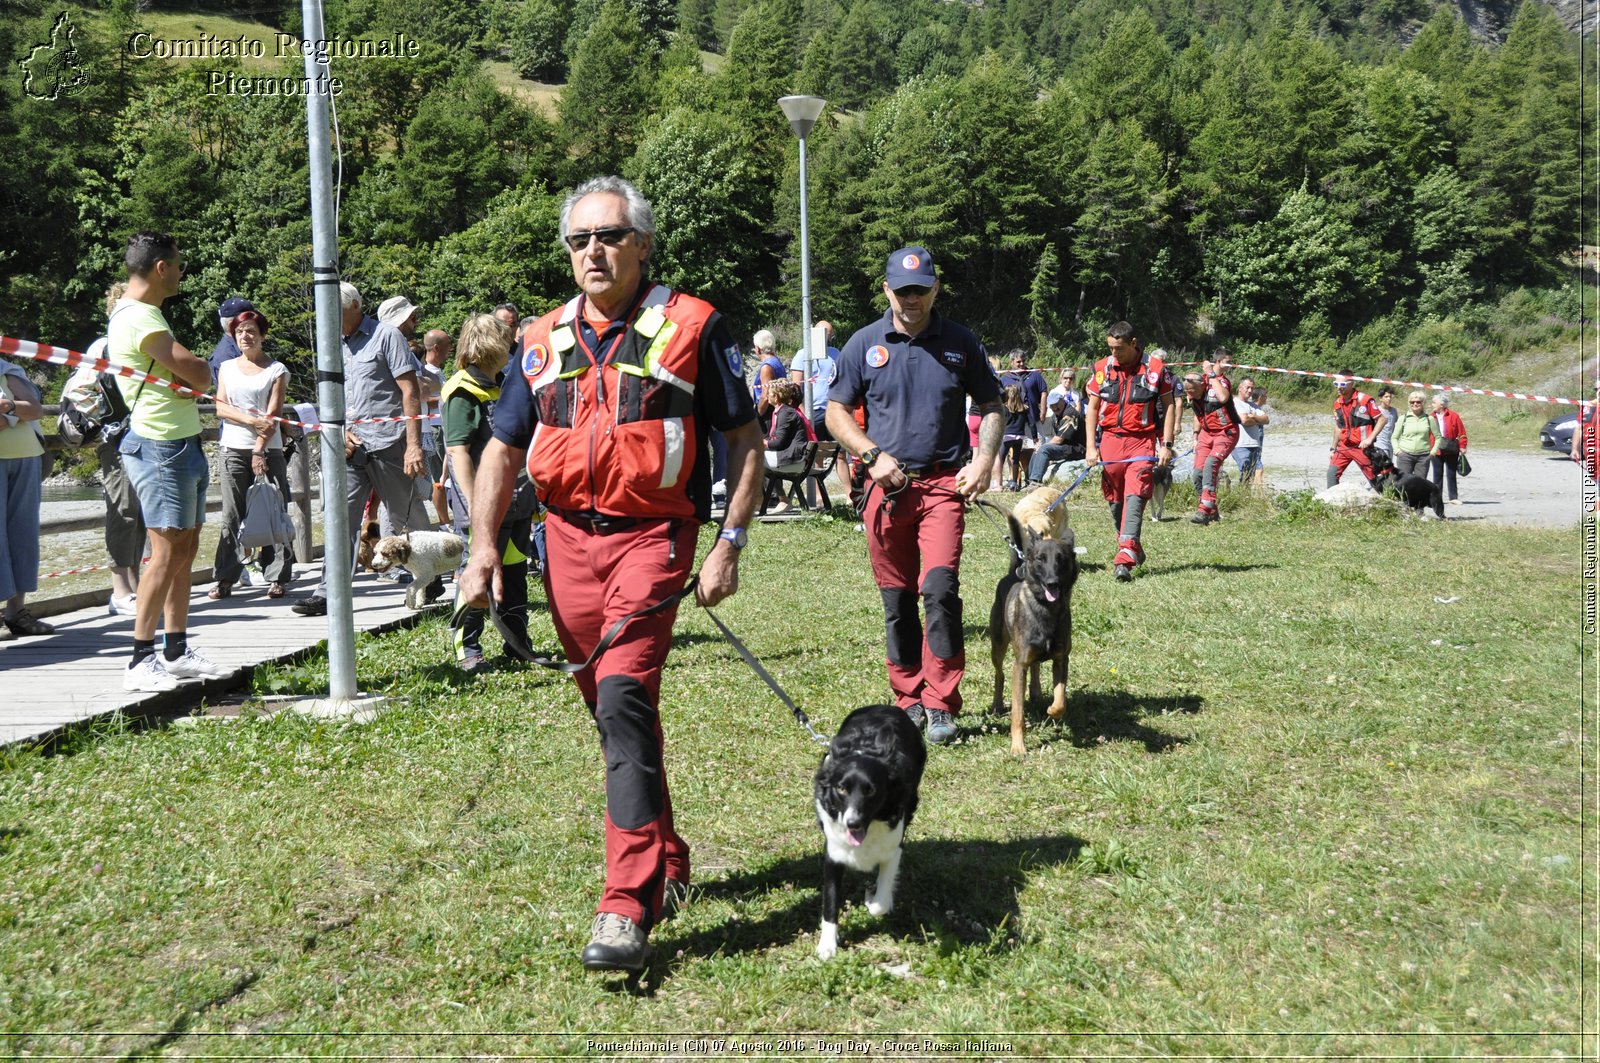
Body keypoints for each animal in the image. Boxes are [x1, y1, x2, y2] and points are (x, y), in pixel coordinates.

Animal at [812, 710, 928, 960]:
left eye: (871, 790)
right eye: (842, 789)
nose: (852, 823)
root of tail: (887, 707)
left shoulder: (893, 848)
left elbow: (880, 903)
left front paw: (871, 898)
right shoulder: (833, 854)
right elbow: (830, 901)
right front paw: (827, 945)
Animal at [985, 509, 1075, 752]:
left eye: (1061, 559)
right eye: (1040, 559)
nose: (1053, 582)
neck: (1046, 610)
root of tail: (1013, 573)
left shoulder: (1061, 659)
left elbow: (1061, 697)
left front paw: (1053, 710)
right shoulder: (1020, 664)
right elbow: (1018, 712)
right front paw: (1018, 747)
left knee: (1036, 669)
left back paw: (1036, 692)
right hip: (998, 646)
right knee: (1000, 674)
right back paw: (997, 704)